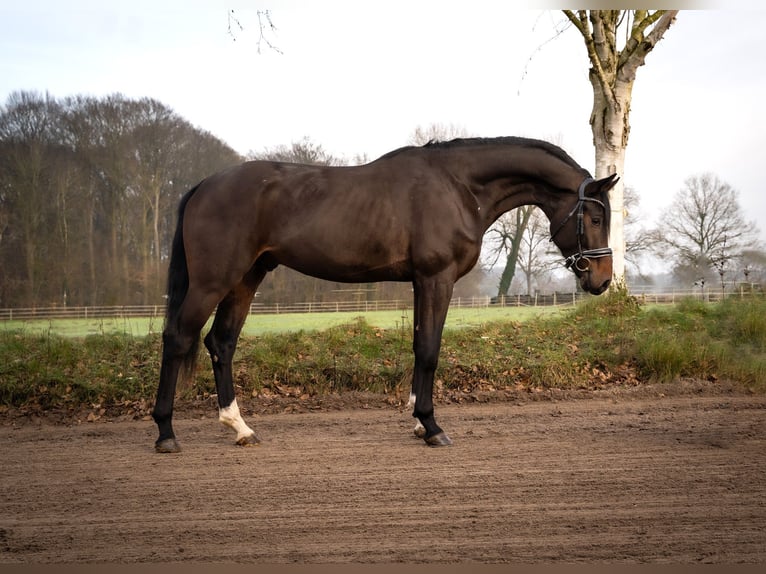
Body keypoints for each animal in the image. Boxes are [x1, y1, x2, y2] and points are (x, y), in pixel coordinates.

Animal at [152, 137, 616, 452]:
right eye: (594, 217)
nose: (602, 280)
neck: (457, 186)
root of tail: (204, 186)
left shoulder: (421, 282)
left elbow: (418, 344)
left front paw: (418, 420)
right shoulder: (436, 278)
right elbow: (429, 349)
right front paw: (432, 427)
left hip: (247, 278)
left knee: (221, 343)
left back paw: (240, 427)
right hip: (214, 281)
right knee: (178, 338)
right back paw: (166, 433)